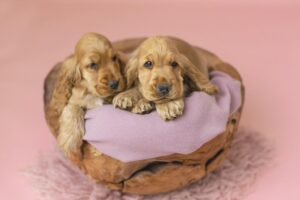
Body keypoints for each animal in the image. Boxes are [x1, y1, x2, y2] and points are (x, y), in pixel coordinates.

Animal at [54, 32, 126, 161]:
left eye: (114, 58)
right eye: (93, 65)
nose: (115, 83)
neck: (92, 92)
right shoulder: (74, 100)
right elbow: (73, 108)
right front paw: (70, 142)